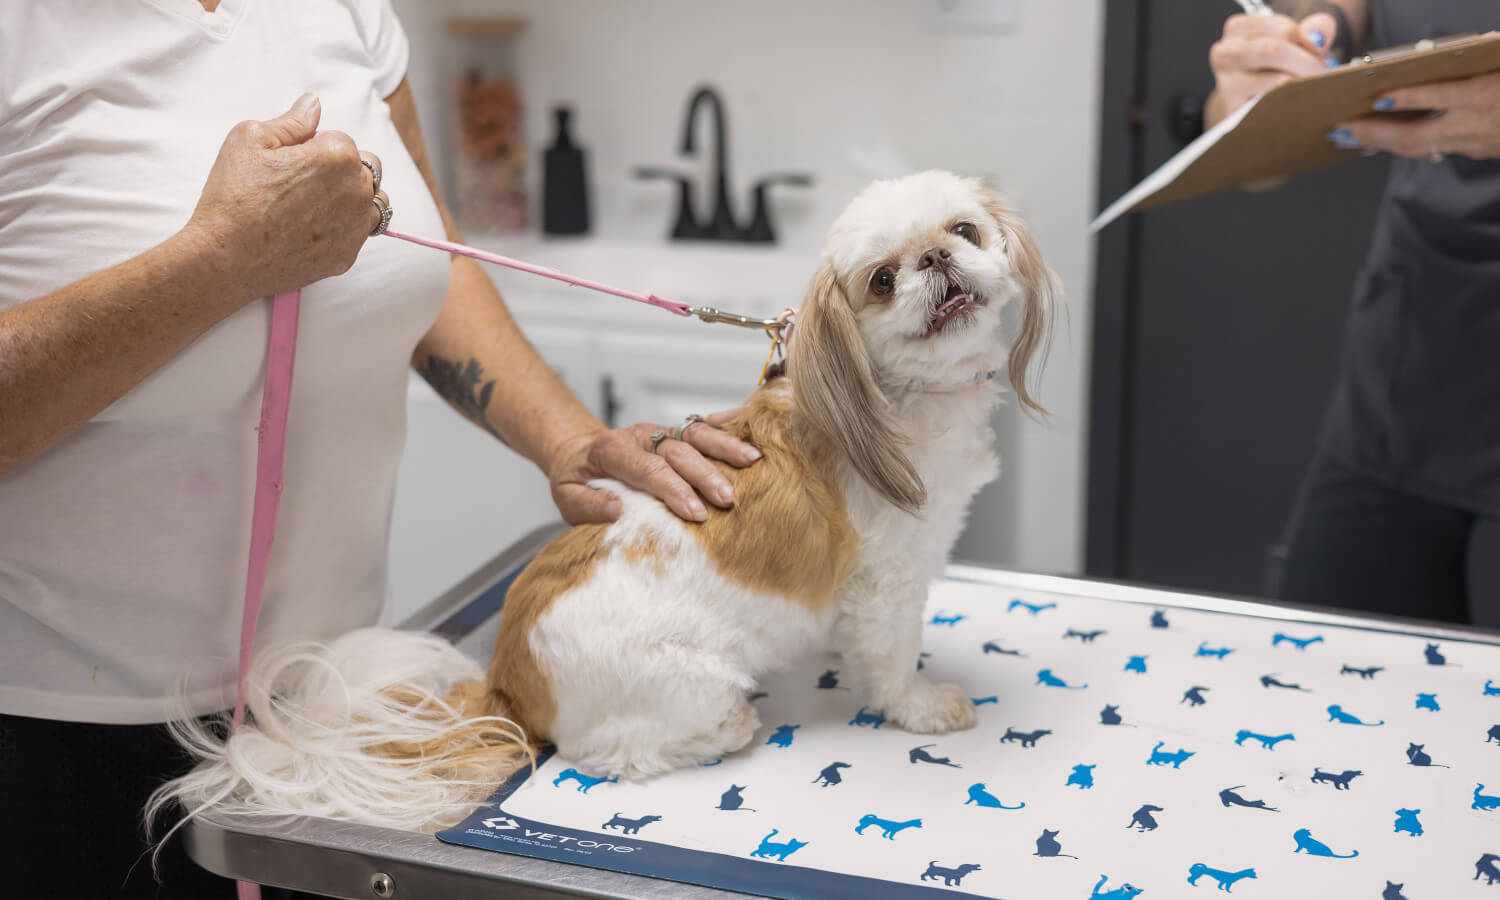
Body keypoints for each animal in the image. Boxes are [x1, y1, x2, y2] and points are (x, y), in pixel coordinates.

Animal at [152, 170, 1056, 834]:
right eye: (882, 279)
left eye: (963, 232)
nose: (935, 260)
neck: (891, 398)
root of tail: (508, 681)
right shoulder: (888, 583)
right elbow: (893, 657)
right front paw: (920, 705)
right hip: (689, 683)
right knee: (618, 750)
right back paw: (722, 733)